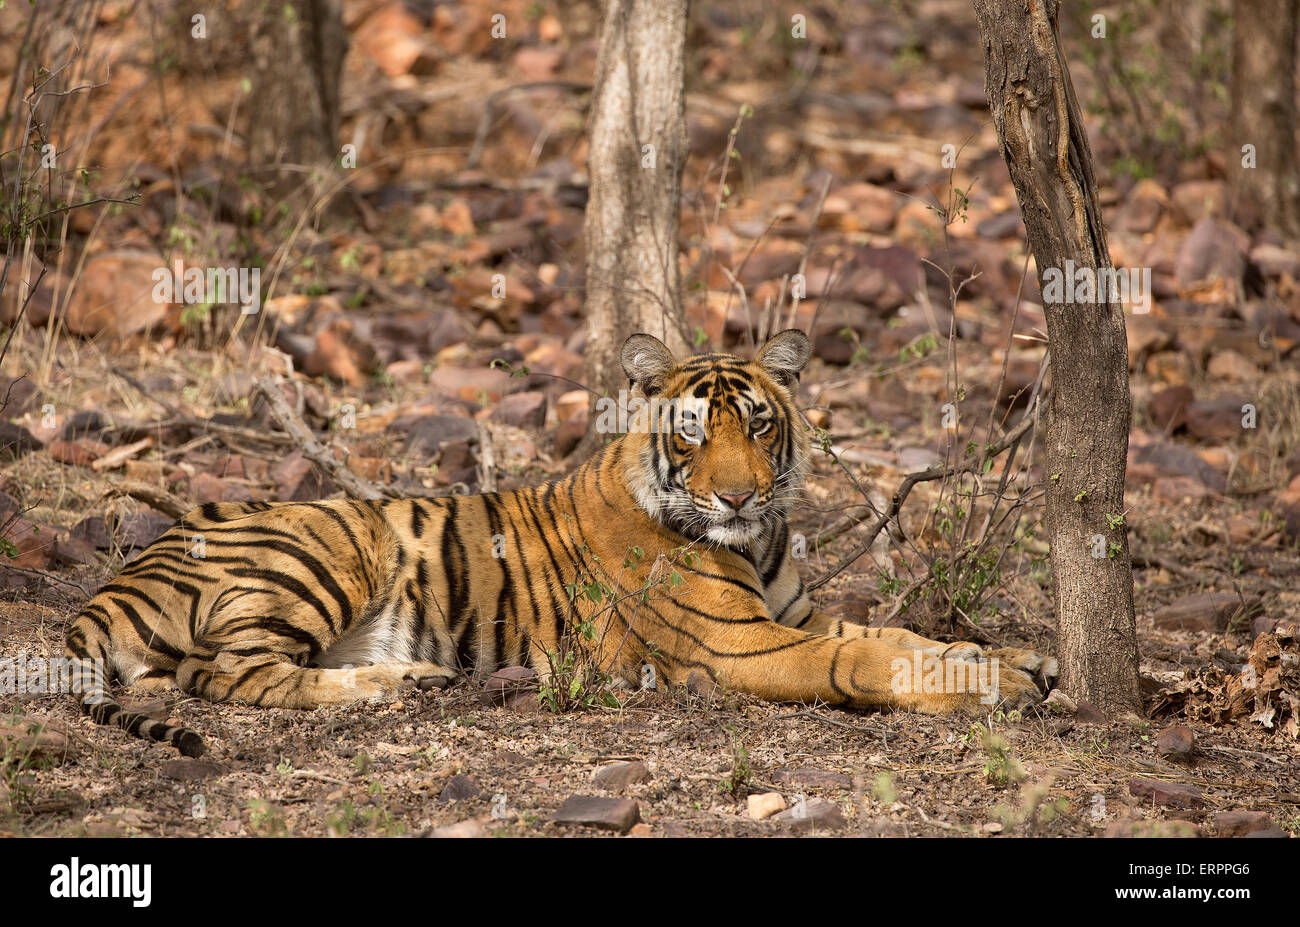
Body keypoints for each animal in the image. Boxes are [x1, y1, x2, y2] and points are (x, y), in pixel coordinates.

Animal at [63, 328, 1055, 754]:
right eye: (694, 430)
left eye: (761, 423)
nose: (737, 493)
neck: (758, 539)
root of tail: (127, 569)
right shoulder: (741, 644)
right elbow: (869, 659)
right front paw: (994, 680)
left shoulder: (797, 615)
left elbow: (897, 633)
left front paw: (1016, 659)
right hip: (331, 544)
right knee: (221, 672)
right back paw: (390, 686)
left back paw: (414, 676)